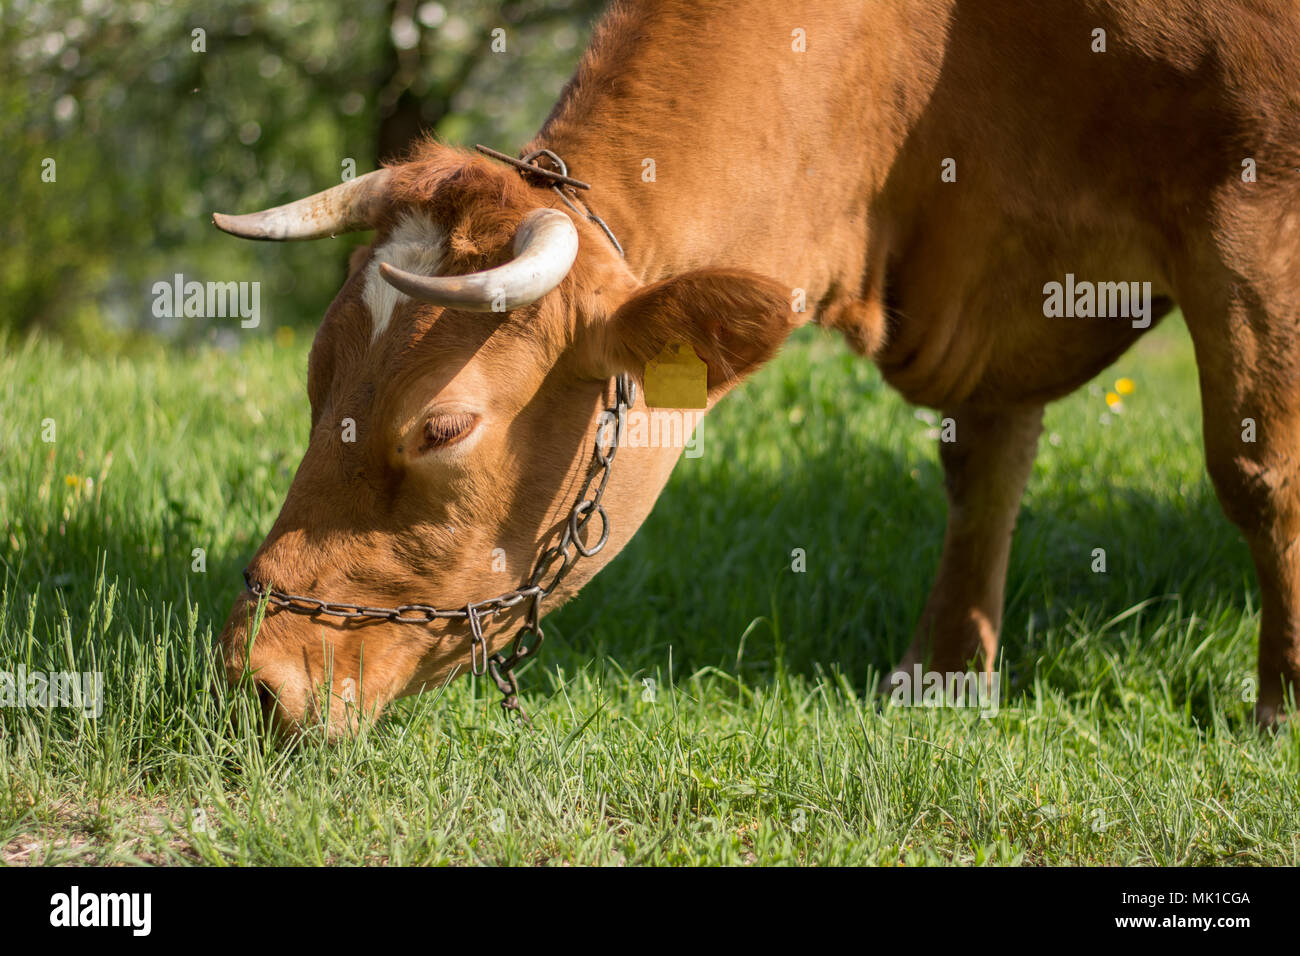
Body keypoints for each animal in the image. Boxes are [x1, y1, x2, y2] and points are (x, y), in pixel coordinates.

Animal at [215, 0, 1300, 734]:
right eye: (314, 381)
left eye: (443, 427)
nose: (253, 677)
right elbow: (982, 474)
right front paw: (941, 676)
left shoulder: (1254, 195)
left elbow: (1259, 474)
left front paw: (1280, 709)